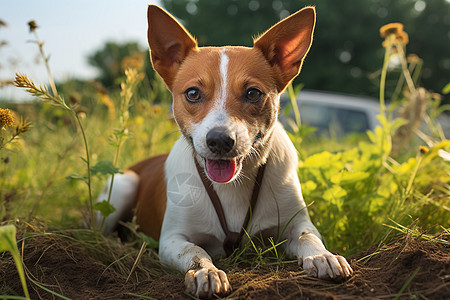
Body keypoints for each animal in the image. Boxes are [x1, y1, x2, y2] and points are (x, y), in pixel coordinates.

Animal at [96, 4, 354, 298]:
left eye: (253, 93)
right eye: (193, 93)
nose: (220, 140)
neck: (232, 188)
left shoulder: (296, 223)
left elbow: (308, 236)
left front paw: (323, 256)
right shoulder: (173, 239)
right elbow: (195, 251)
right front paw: (205, 272)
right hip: (123, 184)